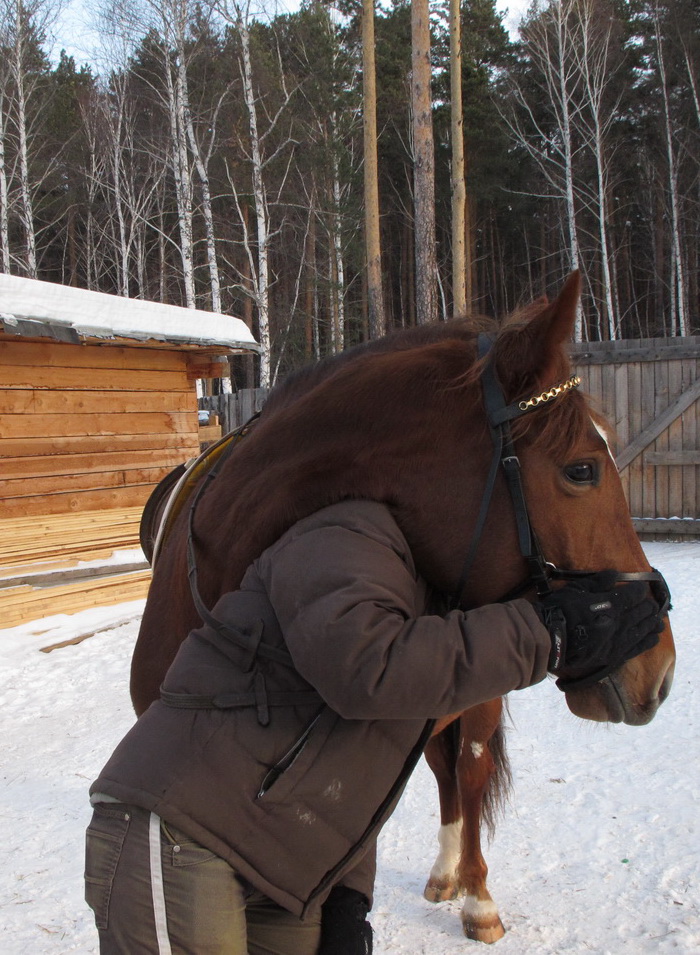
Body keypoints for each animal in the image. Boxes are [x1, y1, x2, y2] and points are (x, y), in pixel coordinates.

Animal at [130, 272, 672, 944]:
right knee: (442, 771)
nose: (661, 669)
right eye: (582, 470)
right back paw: (447, 874)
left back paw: (474, 892)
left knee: (466, 775)